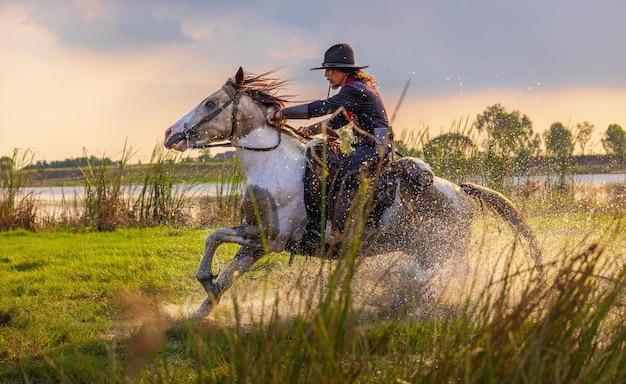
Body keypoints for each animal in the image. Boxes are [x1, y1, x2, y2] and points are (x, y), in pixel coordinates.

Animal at [163, 67, 540, 316]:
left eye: (210, 103)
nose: (169, 133)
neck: (272, 164)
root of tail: (459, 191)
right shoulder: (256, 241)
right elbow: (225, 271)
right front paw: (199, 309)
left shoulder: (273, 236)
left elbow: (214, 235)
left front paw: (205, 281)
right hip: (426, 251)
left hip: (445, 251)